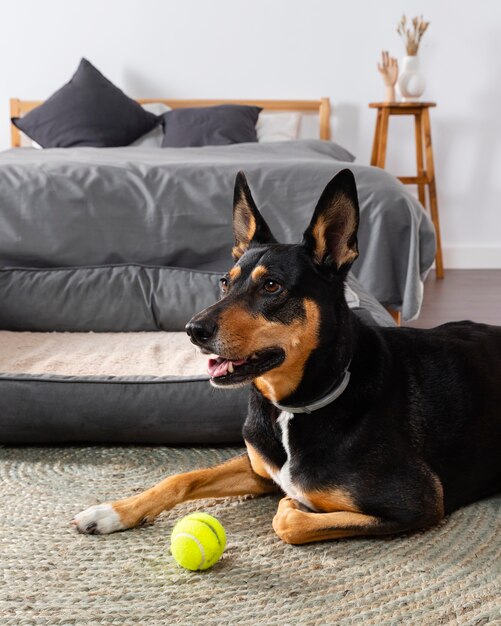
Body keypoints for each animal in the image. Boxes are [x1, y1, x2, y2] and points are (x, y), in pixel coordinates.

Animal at [73, 168, 500, 540]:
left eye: (272, 286)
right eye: (225, 282)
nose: (193, 331)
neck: (294, 405)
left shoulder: (419, 502)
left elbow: (287, 520)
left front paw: (294, 506)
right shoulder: (259, 467)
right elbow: (182, 477)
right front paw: (112, 512)